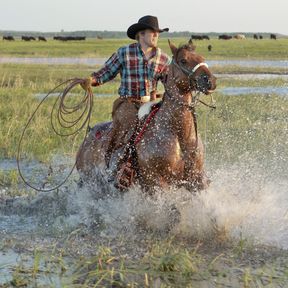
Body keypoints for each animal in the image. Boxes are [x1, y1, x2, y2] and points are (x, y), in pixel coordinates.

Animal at [76, 39, 216, 194]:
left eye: (202, 58)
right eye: (183, 60)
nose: (210, 80)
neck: (177, 133)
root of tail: (89, 135)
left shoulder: (196, 178)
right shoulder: (155, 182)